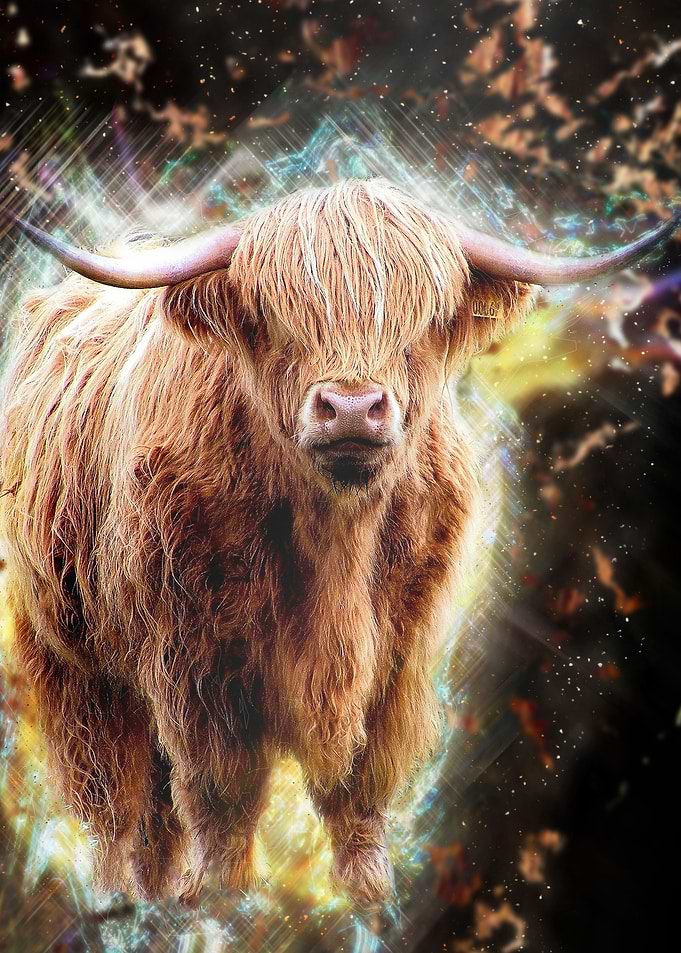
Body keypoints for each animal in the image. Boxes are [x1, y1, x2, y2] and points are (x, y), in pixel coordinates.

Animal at [0, 180, 678, 907]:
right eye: (277, 318)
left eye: (421, 320)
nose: (352, 407)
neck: (334, 546)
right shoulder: (195, 657)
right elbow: (221, 783)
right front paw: (226, 891)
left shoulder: (398, 650)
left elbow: (362, 777)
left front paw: (368, 890)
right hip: (71, 655)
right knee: (111, 788)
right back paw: (120, 892)